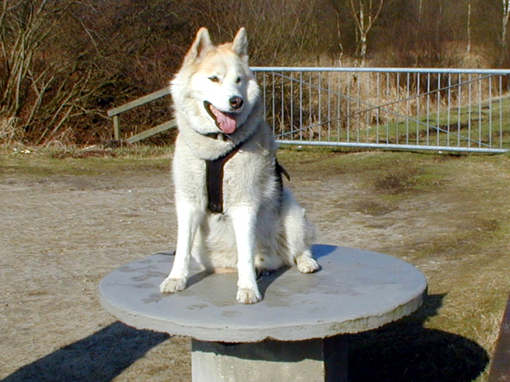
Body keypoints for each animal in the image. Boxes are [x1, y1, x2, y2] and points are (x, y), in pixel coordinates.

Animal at [159, 26, 318, 304]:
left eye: (238, 80)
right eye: (214, 79)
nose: (236, 101)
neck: (218, 145)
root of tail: (273, 260)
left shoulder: (245, 204)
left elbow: (246, 254)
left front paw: (248, 289)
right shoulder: (188, 202)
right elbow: (181, 249)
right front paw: (176, 279)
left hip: (292, 213)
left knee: (297, 250)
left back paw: (305, 262)